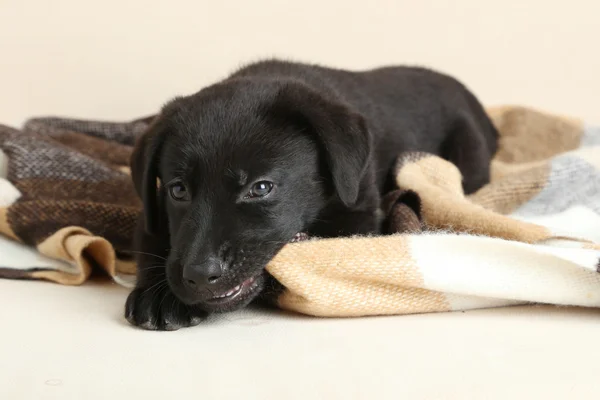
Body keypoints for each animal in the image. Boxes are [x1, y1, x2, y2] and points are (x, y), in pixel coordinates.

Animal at [125, 58, 496, 328]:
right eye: (178, 190)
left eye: (261, 188)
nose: (200, 275)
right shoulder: (153, 211)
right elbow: (152, 238)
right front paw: (159, 295)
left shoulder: (358, 209)